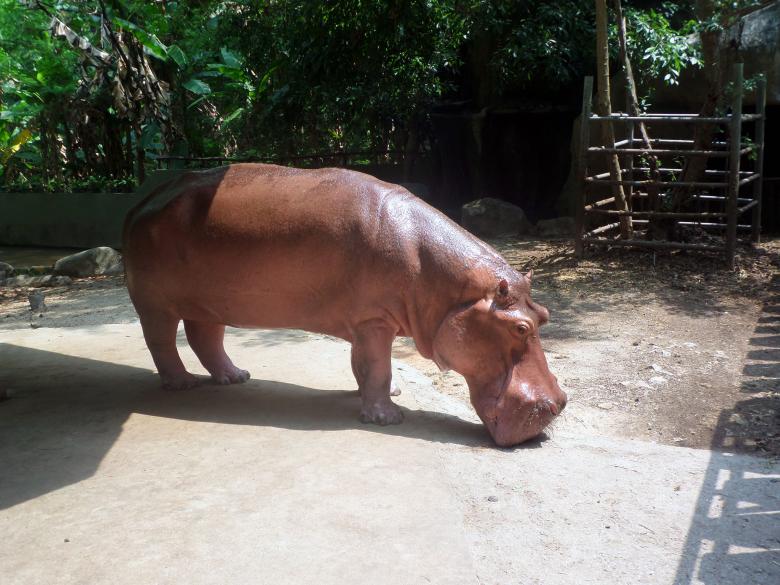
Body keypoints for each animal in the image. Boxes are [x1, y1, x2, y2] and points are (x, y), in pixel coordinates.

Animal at [123, 164, 566, 446]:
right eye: (520, 328)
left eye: (544, 315)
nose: (559, 403)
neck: (449, 289)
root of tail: (142, 201)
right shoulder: (374, 320)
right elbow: (377, 366)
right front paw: (388, 418)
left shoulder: (364, 320)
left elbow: (364, 365)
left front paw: (385, 393)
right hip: (156, 302)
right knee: (162, 341)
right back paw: (183, 384)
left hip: (211, 302)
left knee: (205, 337)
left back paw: (236, 378)